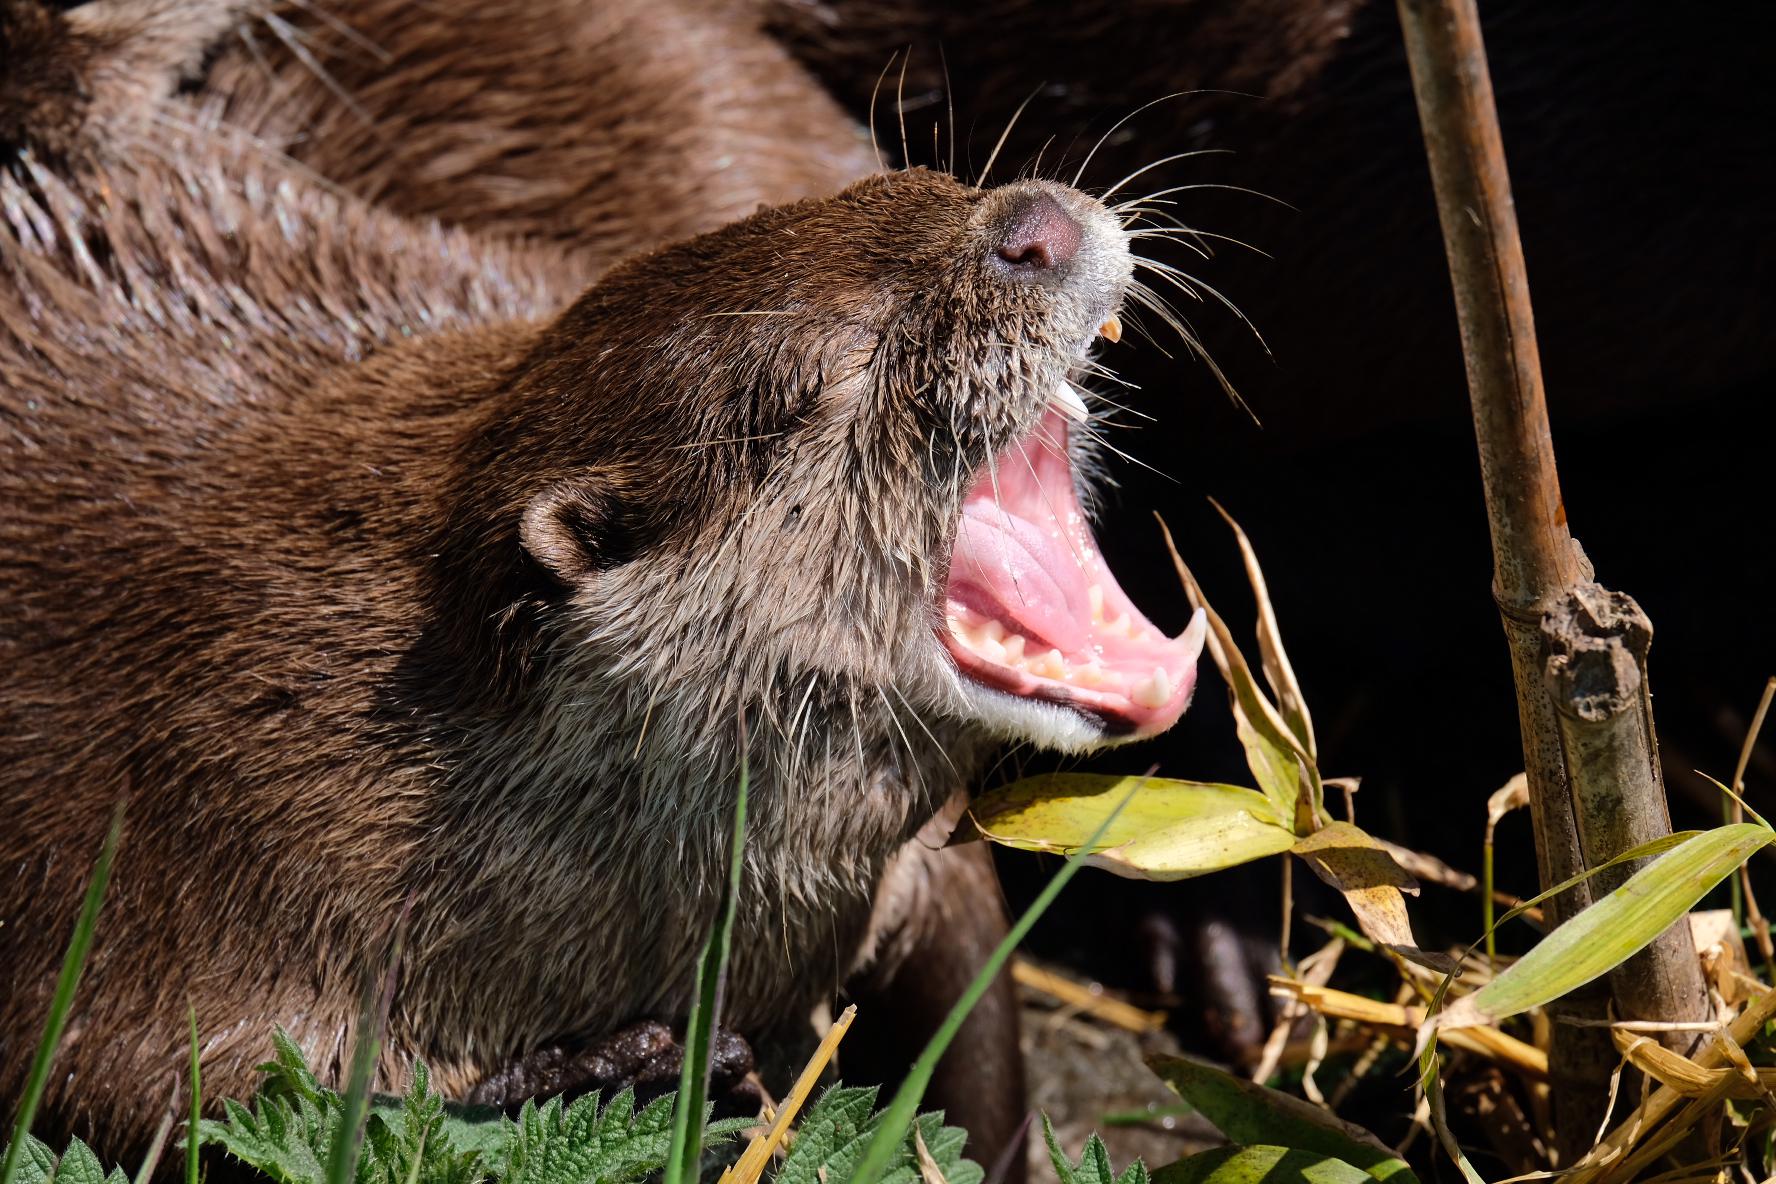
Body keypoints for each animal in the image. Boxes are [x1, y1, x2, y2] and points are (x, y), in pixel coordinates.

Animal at [0, 31, 1207, 1175]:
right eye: (826, 372)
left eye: (929, 181)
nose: (1034, 224)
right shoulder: (162, 915)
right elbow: (195, 1109)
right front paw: (616, 1070)